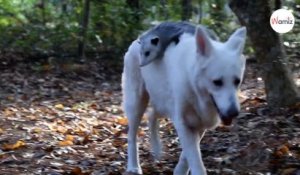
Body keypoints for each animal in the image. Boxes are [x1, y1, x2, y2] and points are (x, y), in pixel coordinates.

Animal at [122, 25, 246, 175]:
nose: (234, 112)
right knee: (131, 136)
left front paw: (179, 171)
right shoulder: (183, 123)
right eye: (217, 82)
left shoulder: (199, 124)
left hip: (162, 103)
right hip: (137, 104)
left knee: (152, 116)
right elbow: (195, 160)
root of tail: (138, 40)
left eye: (237, 81)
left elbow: (187, 155)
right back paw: (133, 166)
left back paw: (156, 149)